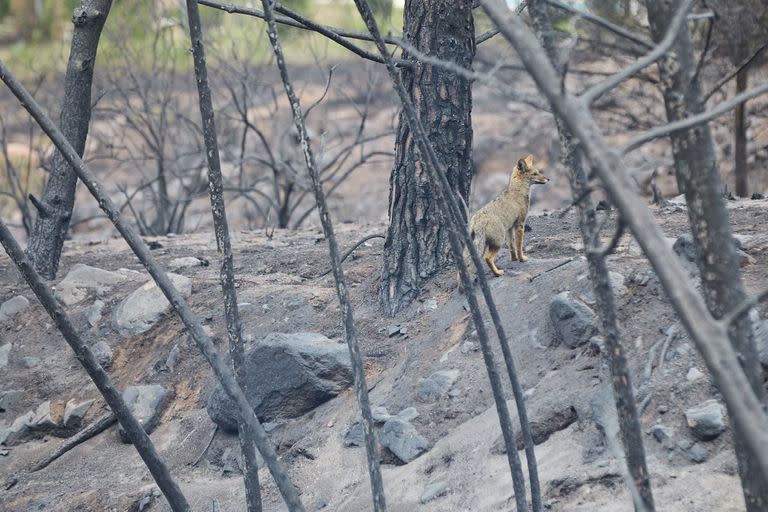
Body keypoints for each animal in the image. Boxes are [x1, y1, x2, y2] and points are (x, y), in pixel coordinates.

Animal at [460, 153, 548, 292]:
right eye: (535, 173)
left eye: (539, 172)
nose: (548, 179)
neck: (517, 191)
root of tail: (477, 219)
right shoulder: (520, 224)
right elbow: (519, 245)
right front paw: (522, 259)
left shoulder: (510, 228)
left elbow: (512, 246)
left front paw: (514, 259)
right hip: (497, 243)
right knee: (488, 258)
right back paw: (497, 273)